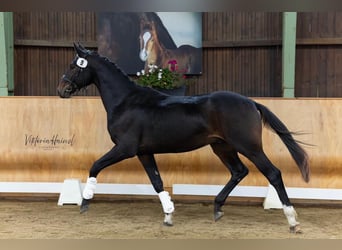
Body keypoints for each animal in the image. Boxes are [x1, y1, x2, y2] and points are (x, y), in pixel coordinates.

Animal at [57, 44, 308, 233]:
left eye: (73, 65)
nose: (61, 90)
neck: (126, 102)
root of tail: (251, 103)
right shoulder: (144, 152)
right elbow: (157, 182)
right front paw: (168, 215)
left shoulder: (125, 148)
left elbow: (95, 165)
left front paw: (85, 201)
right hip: (222, 147)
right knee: (239, 171)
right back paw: (217, 208)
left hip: (249, 147)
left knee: (273, 173)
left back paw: (293, 221)